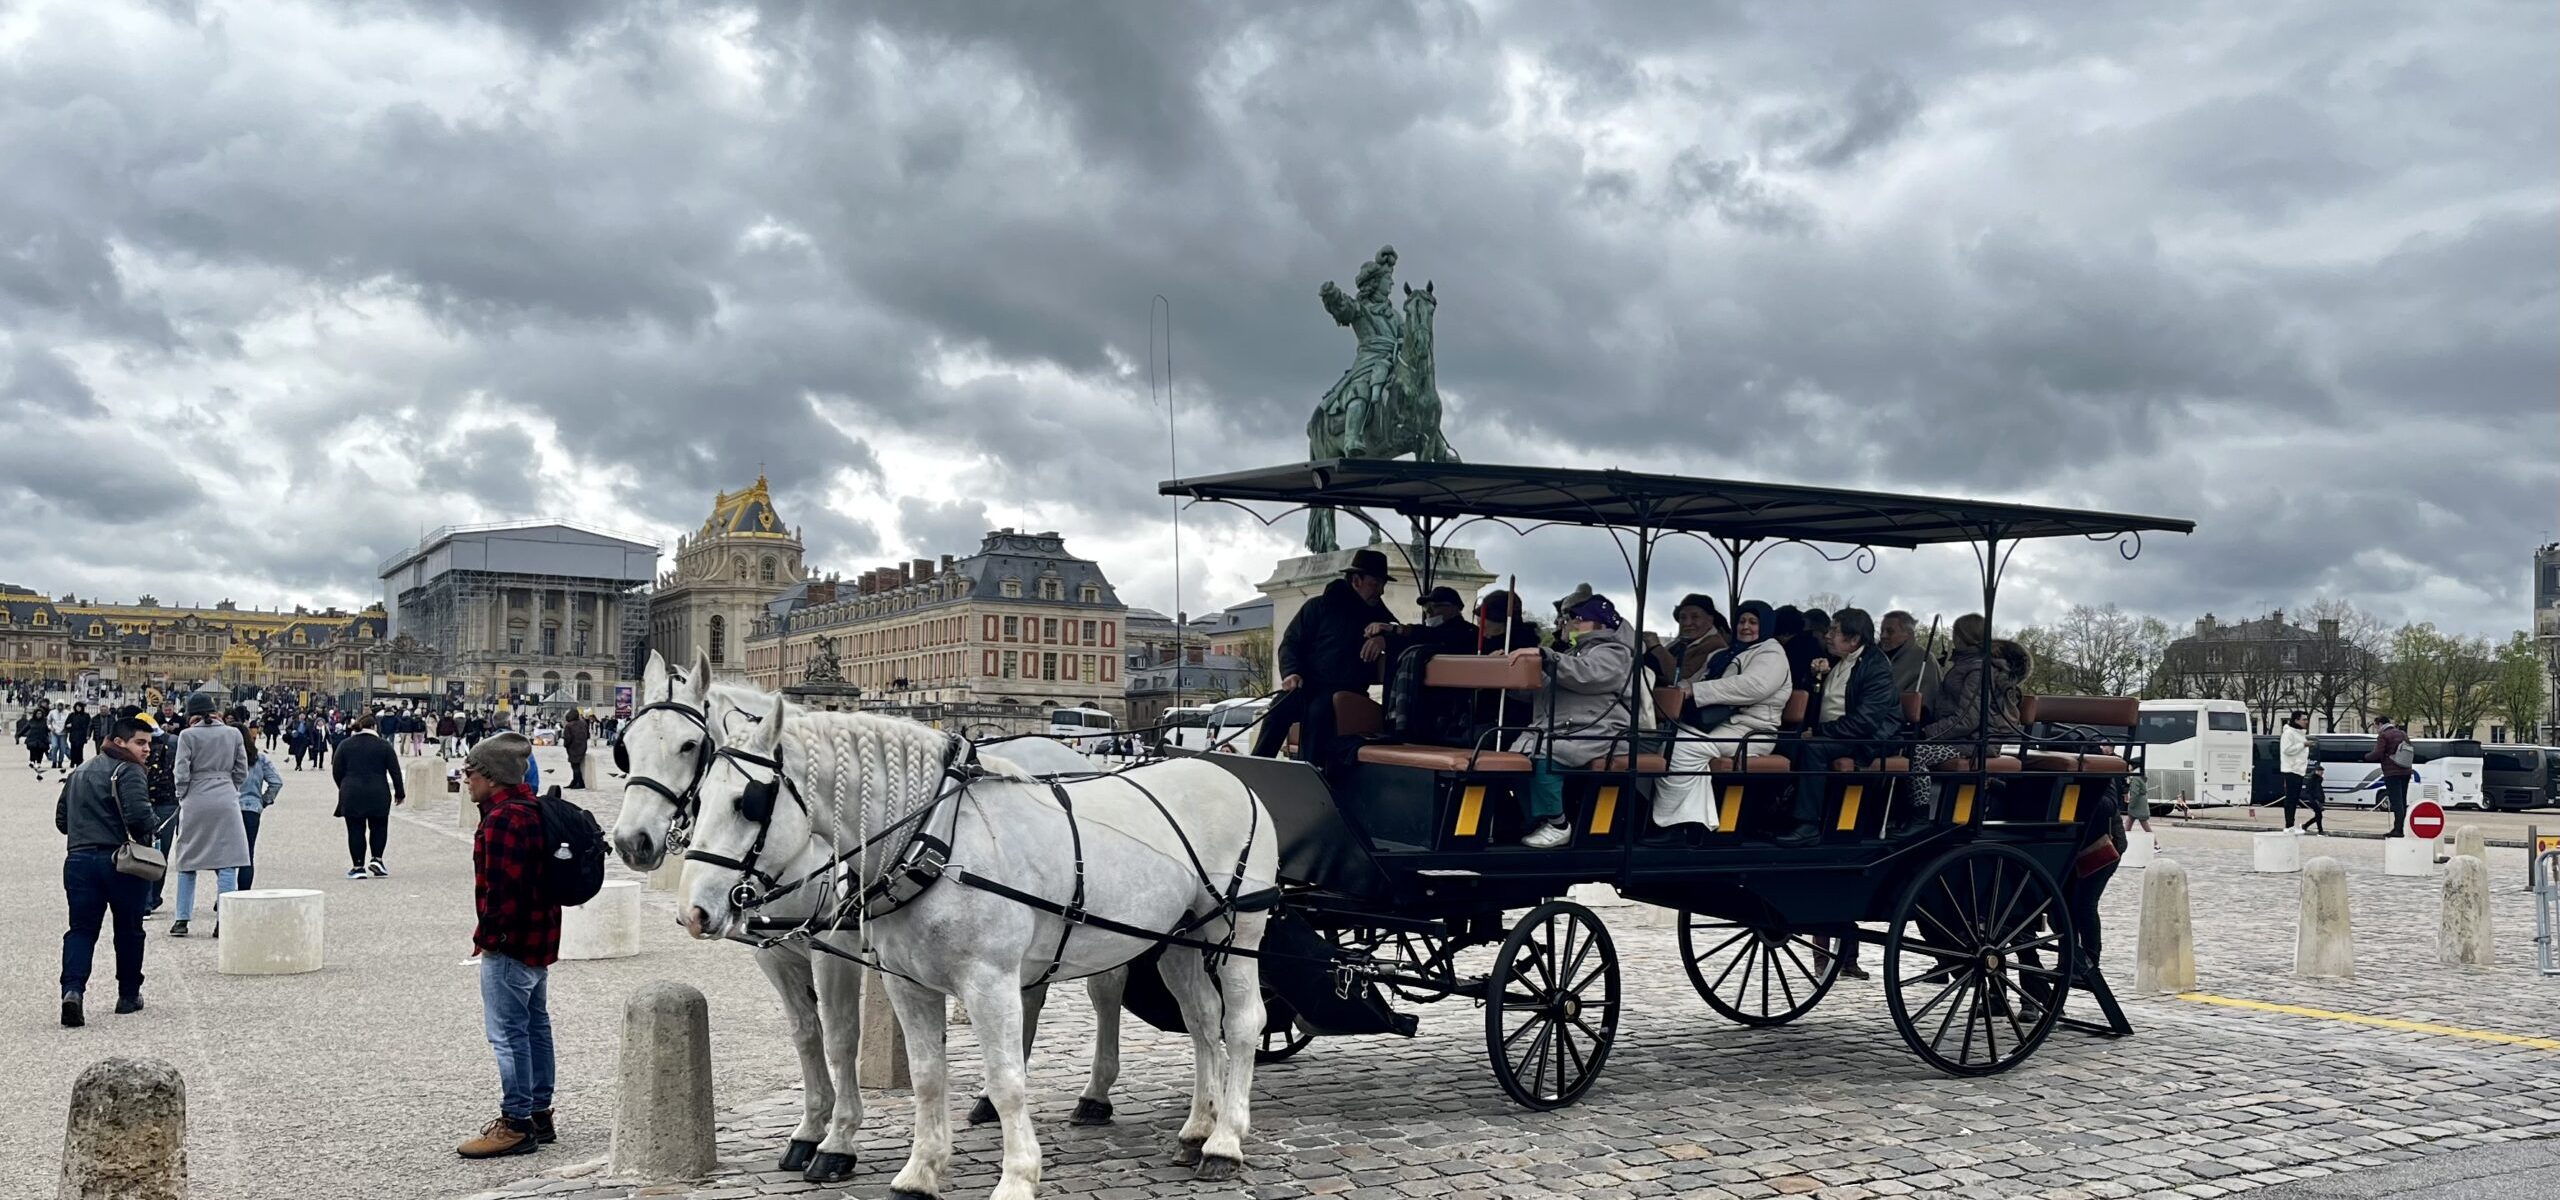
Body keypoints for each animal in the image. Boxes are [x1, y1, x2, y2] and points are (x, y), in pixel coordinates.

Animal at [686, 690, 1274, 1197]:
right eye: (699, 798)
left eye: (747, 803)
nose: (694, 911)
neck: (935, 839)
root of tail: (1227, 775)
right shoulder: (909, 985)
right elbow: (926, 1076)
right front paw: (920, 1171)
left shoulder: (989, 982)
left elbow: (1007, 1078)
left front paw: (1017, 1176)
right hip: (1180, 939)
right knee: (1203, 1024)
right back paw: (1197, 1128)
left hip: (1240, 933)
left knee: (1244, 1024)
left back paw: (1225, 1142)